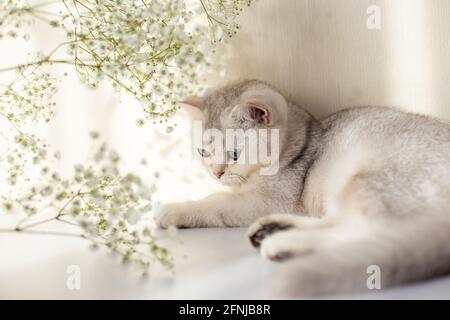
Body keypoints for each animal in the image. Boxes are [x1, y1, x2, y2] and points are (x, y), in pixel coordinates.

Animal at [154, 79, 450, 296]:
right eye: (202, 152)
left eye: (234, 154)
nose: (216, 173)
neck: (303, 142)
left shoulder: (271, 198)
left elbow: (216, 202)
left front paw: (175, 209)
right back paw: (273, 228)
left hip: (370, 182)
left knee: (369, 232)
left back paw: (281, 243)